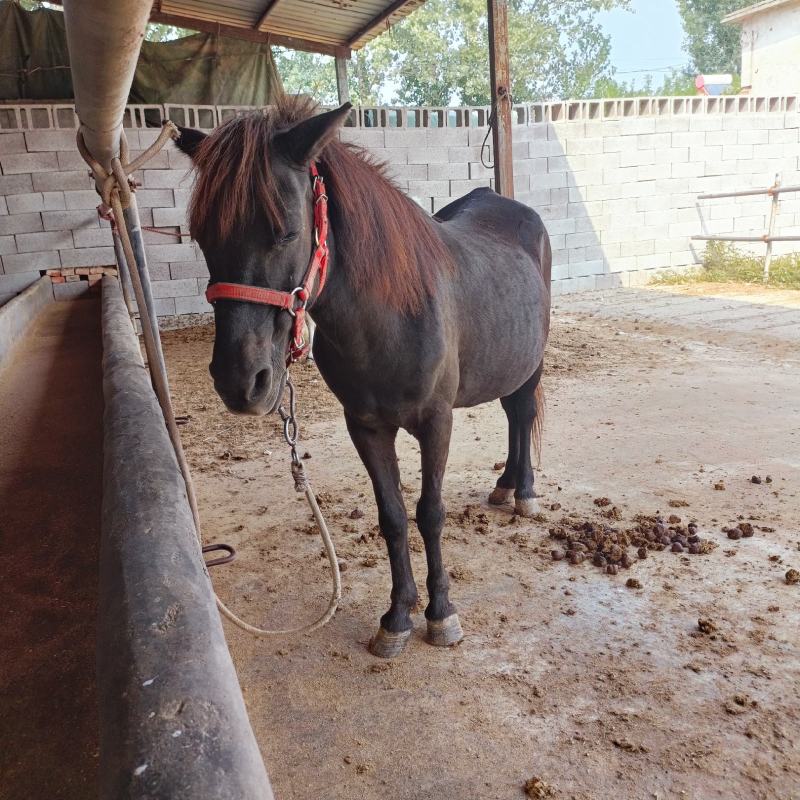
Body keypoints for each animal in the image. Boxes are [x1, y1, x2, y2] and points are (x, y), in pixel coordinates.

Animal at [175, 95, 551, 658]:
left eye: (285, 230)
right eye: (201, 237)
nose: (240, 382)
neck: (389, 316)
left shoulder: (436, 422)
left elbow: (430, 513)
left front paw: (442, 615)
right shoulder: (366, 426)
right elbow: (392, 517)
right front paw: (397, 617)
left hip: (532, 361)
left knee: (522, 412)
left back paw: (523, 491)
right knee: (509, 414)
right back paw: (505, 486)